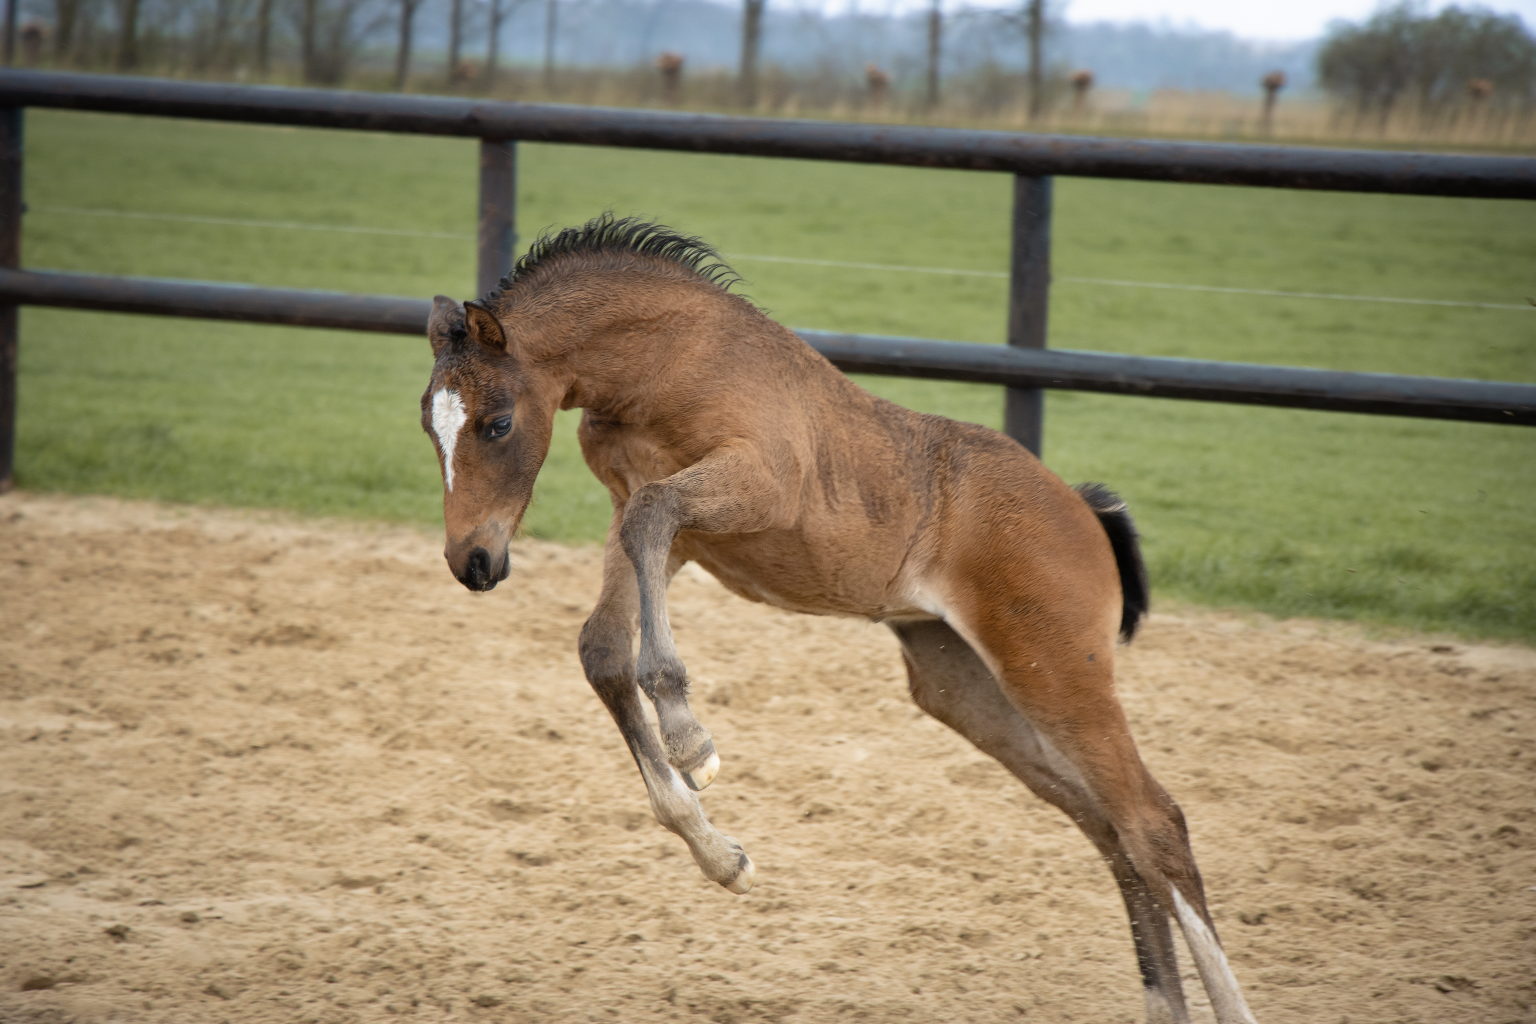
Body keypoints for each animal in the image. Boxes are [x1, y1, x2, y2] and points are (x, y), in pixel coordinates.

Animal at [420, 216, 1259, 1024]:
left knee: (1152, 822)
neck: (668, 360)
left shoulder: (747, 489)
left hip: (1054, 669)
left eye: (497, 424)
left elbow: (654, 539)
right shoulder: (654, 524)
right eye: (431, 427)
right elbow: (603, 646)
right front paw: (720, 855)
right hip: (962, 684)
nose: (472, 560)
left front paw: (694, 741)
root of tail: (1084, 511)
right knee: (1108, 826)